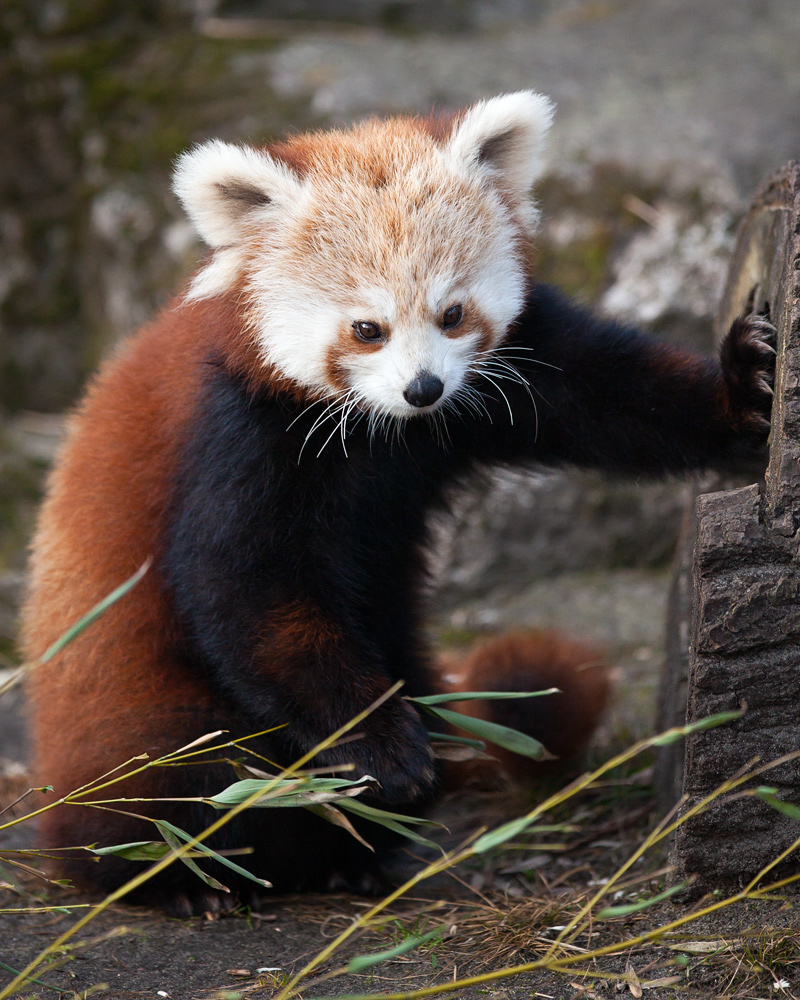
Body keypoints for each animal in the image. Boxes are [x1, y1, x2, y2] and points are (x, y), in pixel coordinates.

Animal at [21, 94, 776, 916]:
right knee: (182, 777)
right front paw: (378, 740)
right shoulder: (234, 435)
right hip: (132, 710)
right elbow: (246, 590)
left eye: (451, 315)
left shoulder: (511, 377)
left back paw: (346, 858)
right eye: (367, 329)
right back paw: (178, 876)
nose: (424, 389)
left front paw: (743, 391)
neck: (386, 433)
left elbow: (618, 398)